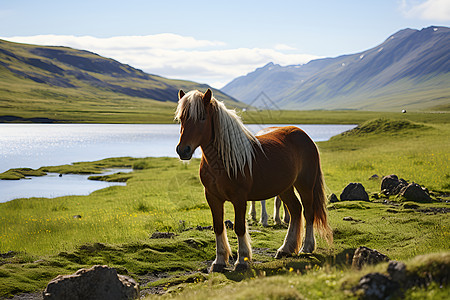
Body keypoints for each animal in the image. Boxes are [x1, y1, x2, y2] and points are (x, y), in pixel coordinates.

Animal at [176, 88, 334, 272]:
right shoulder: (212, 197)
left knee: (308, 212)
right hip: (285, 188)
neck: (222, 161)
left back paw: (306, 247)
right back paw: (285, 249)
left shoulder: (239, 198)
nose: (183, 150)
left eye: (202, 117)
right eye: (181, 118)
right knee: (295, 210)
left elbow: (239, 227)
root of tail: (304, 136)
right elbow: (218, 226)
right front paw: (219, 261)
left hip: (305, 185)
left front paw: (242, 261)